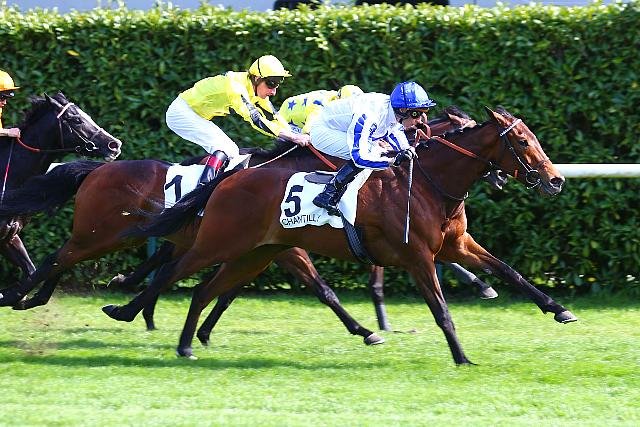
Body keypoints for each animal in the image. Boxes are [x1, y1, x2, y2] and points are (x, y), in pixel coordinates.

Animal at [103, 106, 576, 364]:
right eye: (522, 141)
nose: (555, 181)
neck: (428, 182)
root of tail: (231, 176)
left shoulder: (456, 244)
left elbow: (510, 271)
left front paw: (558, 309)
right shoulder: (418, 256)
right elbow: (440, 309)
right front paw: (460, 355)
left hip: (257, 251)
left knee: (204, 288)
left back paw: (186, 342)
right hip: (221, 242)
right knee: (173, 271)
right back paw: (129, 310)